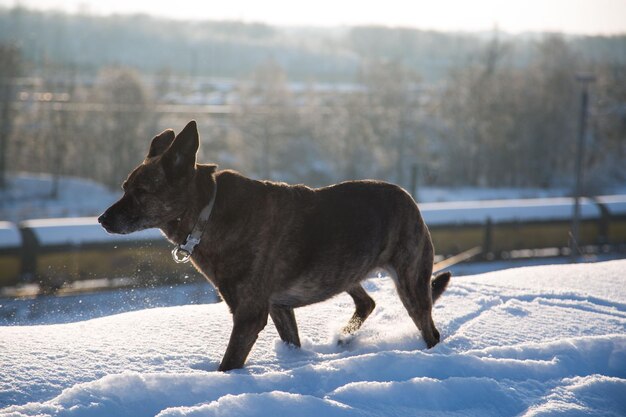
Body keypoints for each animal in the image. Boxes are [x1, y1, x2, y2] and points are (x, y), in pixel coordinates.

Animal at [98, 120, 448, 370]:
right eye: (125, 187)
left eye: (141, 192)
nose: (102, 219)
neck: (206, 213)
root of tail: (408, 197)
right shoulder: (279, 306)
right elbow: (291, 341)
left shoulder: (250, 314)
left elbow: (228, 364)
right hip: (345, 269)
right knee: (367, 302)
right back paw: (343, 338)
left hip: (410, 282)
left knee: (429, 330)